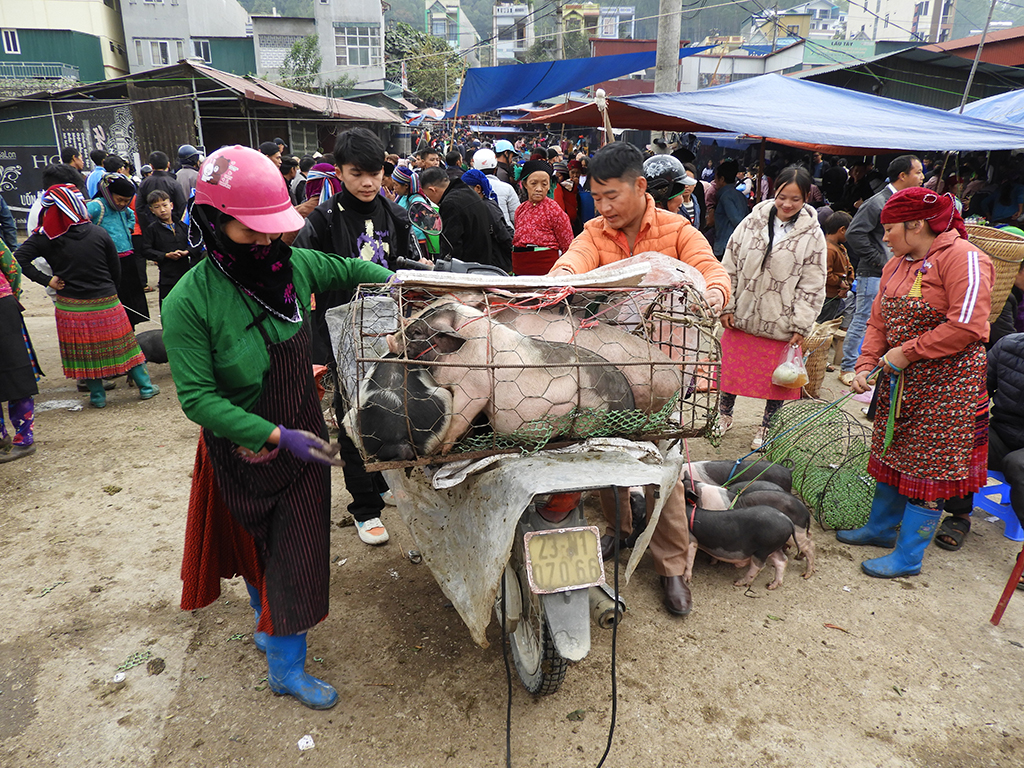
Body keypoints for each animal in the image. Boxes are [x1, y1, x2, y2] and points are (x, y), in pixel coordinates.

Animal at [387, 303, 634, 454]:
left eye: (417, 332)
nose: (389, 339)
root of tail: (629, 404)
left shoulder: (475, 388)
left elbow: (459, 417)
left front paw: (443, 451)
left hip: (588, 418)